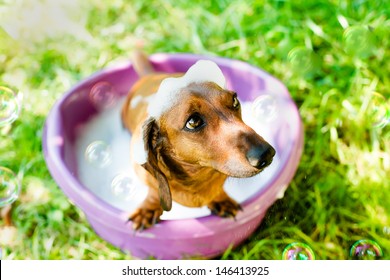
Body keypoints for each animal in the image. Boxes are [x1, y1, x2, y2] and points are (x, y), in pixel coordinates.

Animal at [120, 52, 276, 230]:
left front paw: (221, 199)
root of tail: (150, 75)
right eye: (193, 122)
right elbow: (153, 191)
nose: (266, 154)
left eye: (235, 100)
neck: (197, 176)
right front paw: (148, 209)